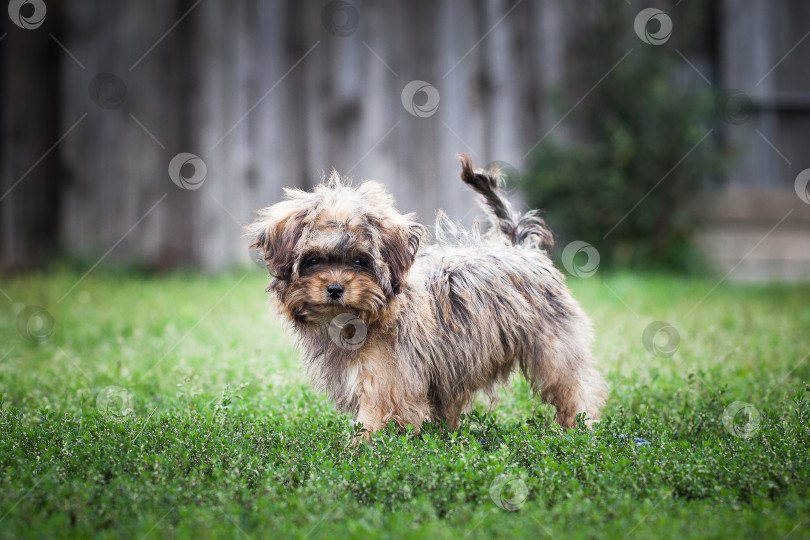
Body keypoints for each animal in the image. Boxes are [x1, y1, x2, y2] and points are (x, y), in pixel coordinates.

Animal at [246, 154, 608, 440]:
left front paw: (359, 451)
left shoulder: (387, 380)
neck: (359, 320)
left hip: (553, 346)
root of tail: (522, 249)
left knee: (572, 386)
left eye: (360, 261)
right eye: (312, 261)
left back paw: (578, 427)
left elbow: (375, 418)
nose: (335, 289)